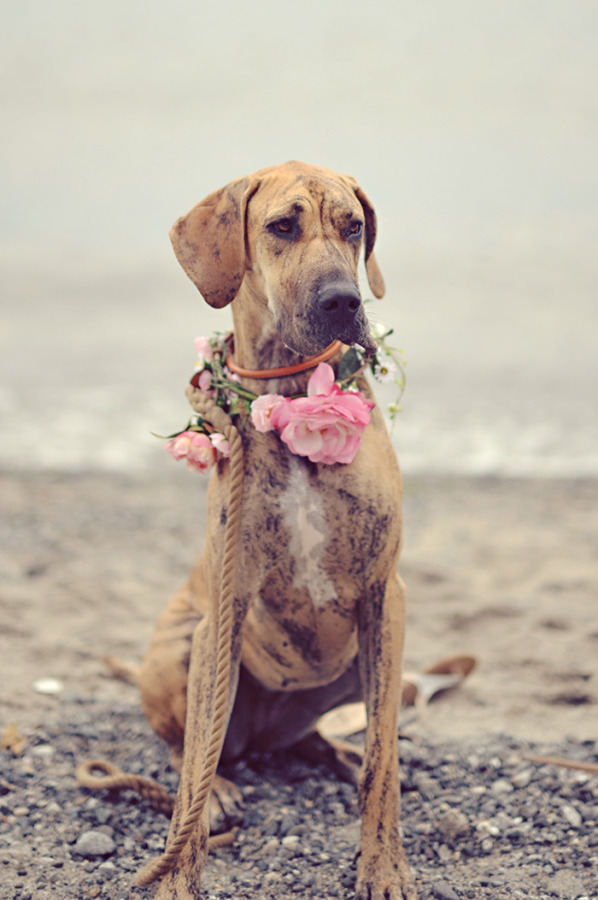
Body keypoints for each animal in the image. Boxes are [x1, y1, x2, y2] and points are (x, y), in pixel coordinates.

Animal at [139, 163, 418, 900]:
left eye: (353, 226)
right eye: (282, 226)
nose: (344, 302)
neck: (292, 393)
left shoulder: (386, 597)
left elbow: (384, 760)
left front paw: (383, 865)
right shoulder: (224, 611)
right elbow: (194, 762)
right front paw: (179, 874)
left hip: (371, 665)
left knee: (328, 736)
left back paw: (337, 751)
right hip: (183, 645)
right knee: (191, 746)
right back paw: (222, 791)